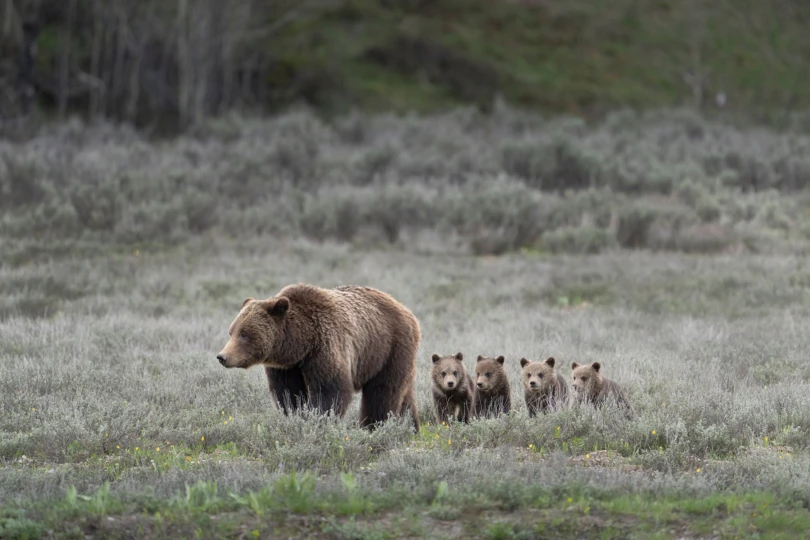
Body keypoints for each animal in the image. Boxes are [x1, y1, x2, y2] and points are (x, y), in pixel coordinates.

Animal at [216, 283, 421, 432]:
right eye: (231, 331)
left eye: (244, 334)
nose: (222, 356)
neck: (301, 343)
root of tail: (407, 311)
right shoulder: (286, 367)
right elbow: (289, 393)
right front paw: (296, 416)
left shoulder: (325, 346)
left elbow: (330, 390)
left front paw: (317, 421)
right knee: (404, 394)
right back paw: (410, 427)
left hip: (388, 348)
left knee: (383, 391)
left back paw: (374, 427)